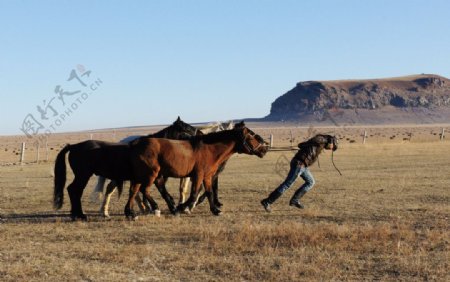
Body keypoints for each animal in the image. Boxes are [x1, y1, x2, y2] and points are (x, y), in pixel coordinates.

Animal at [124, 121, 268, 218]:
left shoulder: (207, 176)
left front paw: (215, 210)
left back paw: (131, 212)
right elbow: (194, 194)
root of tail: (135, 143)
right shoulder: (198, 175)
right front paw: (182, 207)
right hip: (151, 174)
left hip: (146, 175)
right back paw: (156, 208)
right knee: (144, 190)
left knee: (135, 190)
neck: (209, 149)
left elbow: (209, 192)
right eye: (252, 135)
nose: (264, 149)